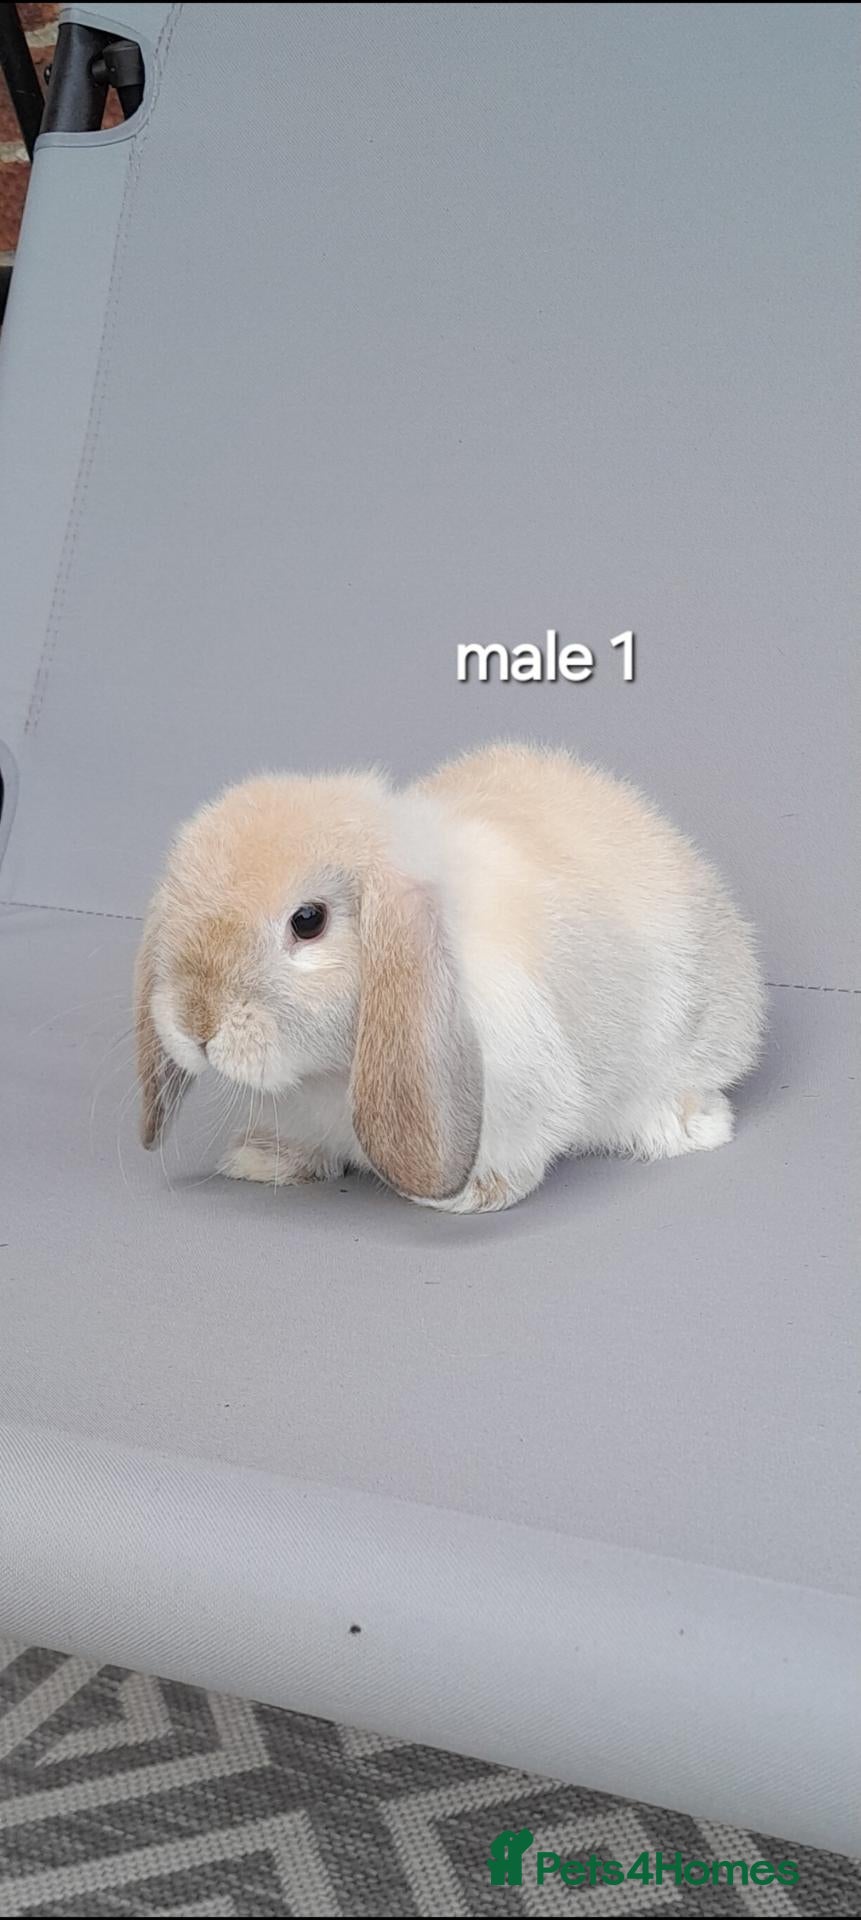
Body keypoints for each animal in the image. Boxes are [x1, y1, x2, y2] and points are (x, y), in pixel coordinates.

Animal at [135, 742, 765, 1212]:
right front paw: (263, 1158)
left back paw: (689, 1123)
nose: (197, 1025)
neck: (332, 1070)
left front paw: (468, 1196)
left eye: (308, 921)